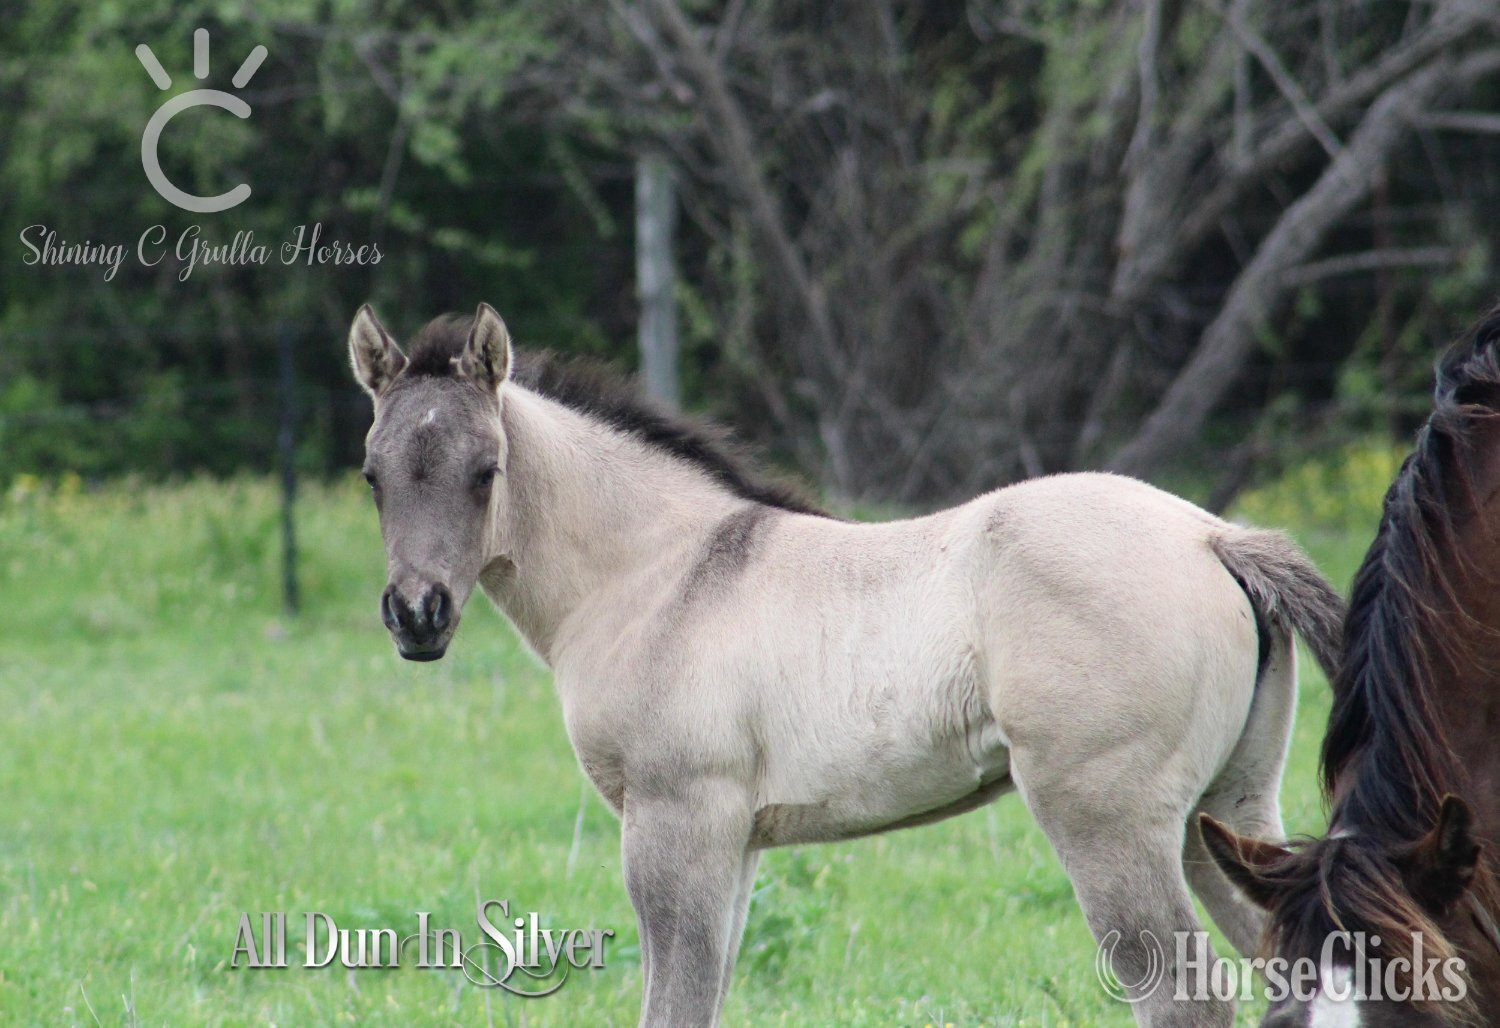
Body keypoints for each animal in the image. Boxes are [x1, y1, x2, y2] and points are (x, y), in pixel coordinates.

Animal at [346, 302, 1344, 1027]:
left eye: (486, 470)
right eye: (372, 475)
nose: (416, 616)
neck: (662, 573)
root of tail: (1214, 535)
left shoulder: (675, 821)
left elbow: (674, 1004)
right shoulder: (735, 840)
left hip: (1111, 822)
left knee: (1186, 998)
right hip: (1226, 811)